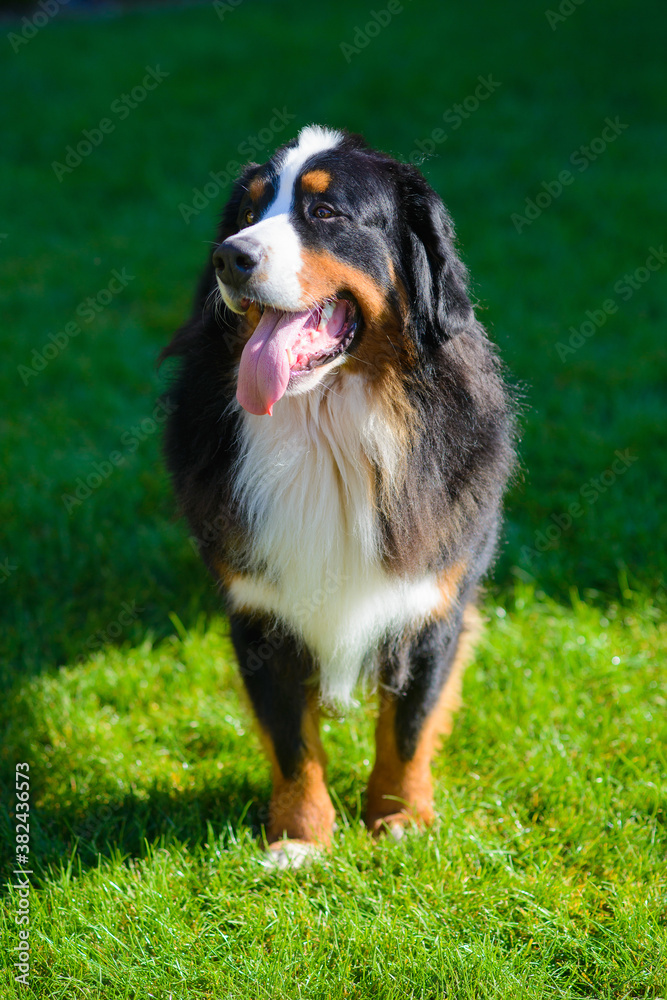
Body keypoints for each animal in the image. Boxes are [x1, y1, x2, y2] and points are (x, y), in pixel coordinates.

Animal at [162, 123, 516, 860]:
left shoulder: (433, 597)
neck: (328, 422)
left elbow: (408, 724)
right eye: (246, 213)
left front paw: (401, 820)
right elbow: (291, 738)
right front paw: (300, 839)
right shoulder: (260, 606)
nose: (229, 257)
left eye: (324, 213)